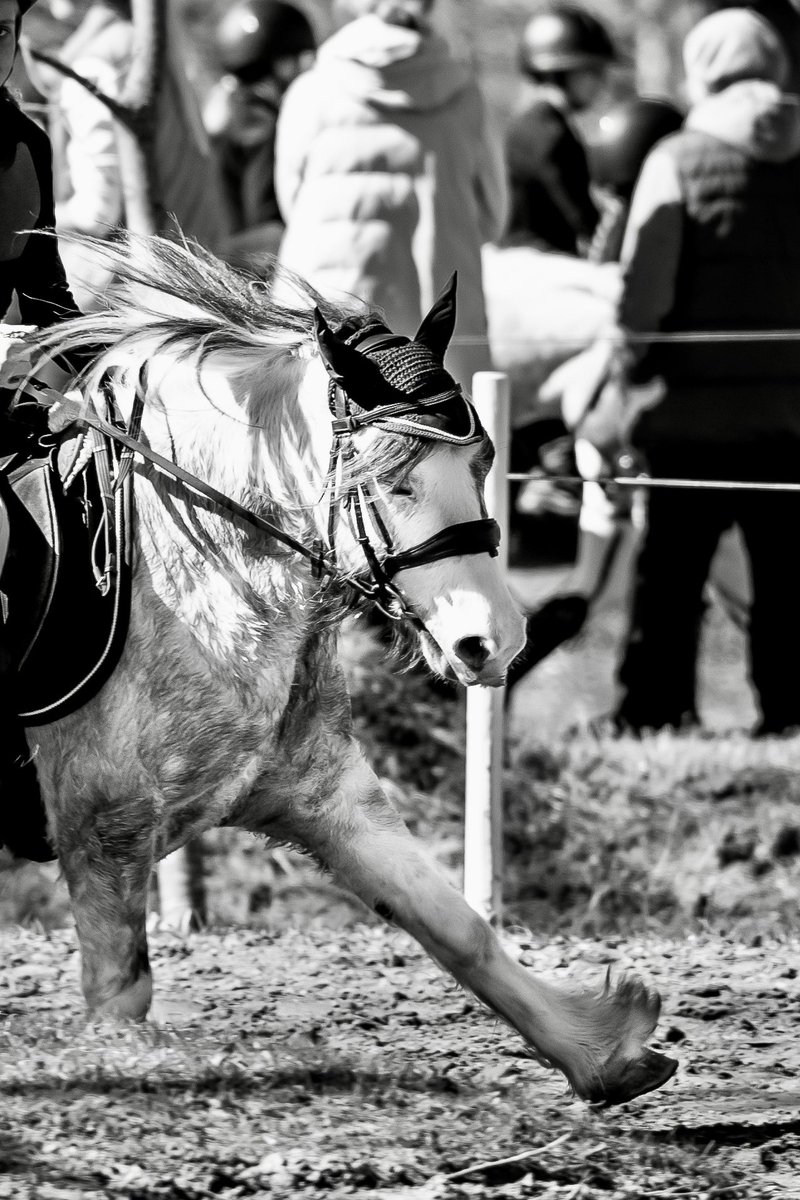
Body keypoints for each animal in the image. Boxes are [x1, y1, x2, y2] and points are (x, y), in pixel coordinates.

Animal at [20, 234, 676, 1107]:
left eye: (482, 465)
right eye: (390, 481)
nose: (493, 643)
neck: (192, 571)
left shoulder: (326, 794)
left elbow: (458, 926)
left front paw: (598, 1048)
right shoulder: (104, 820)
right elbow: (120, 995)